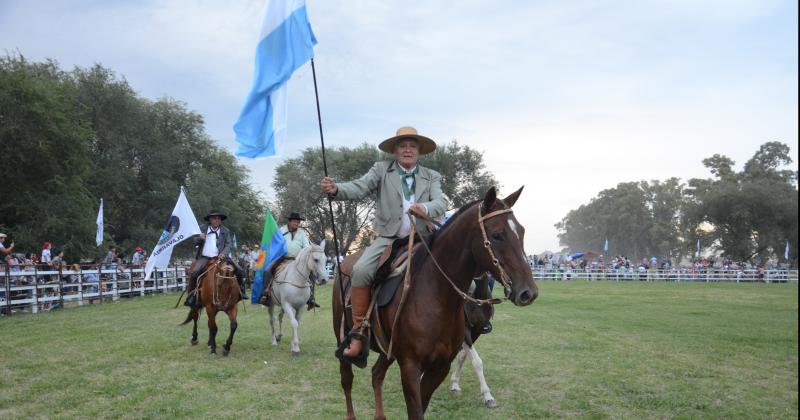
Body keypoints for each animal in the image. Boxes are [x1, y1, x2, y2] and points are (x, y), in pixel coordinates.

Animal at [332, 188, 536, 420]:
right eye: (497, 235)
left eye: (522, 231)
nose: (528, 292)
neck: (437, 297)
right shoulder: (410, 366)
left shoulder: (440, 367)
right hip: (343, 339)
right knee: (347, 380)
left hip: (387, 350)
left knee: (376, 375)